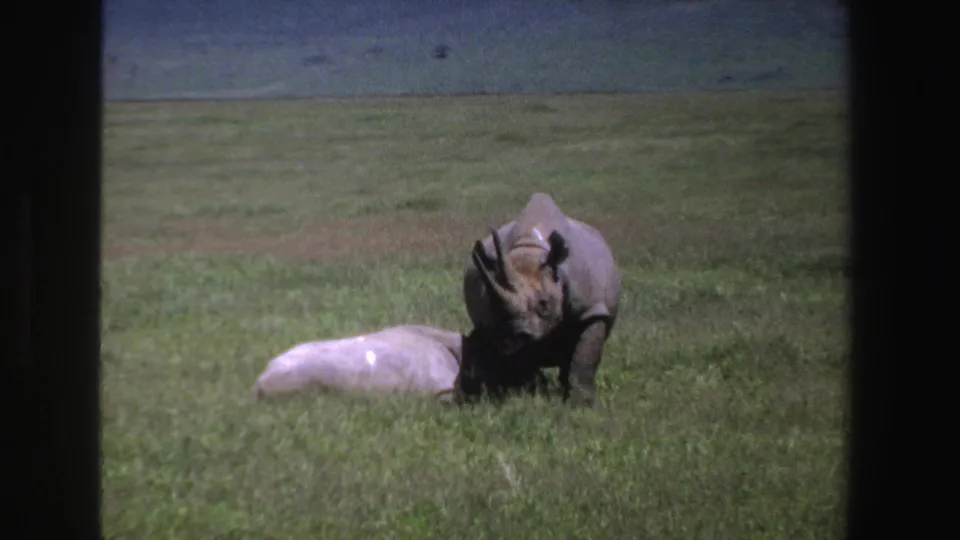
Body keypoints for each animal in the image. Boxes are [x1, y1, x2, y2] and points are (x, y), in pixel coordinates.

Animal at [455, 193, 622, 407]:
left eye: (544, 304)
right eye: (493, 306)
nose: (516, 335)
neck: (531, 250)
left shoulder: (592, 310)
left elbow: (585, 356)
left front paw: (581, 405)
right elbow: (517, 360)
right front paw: (520, 397)